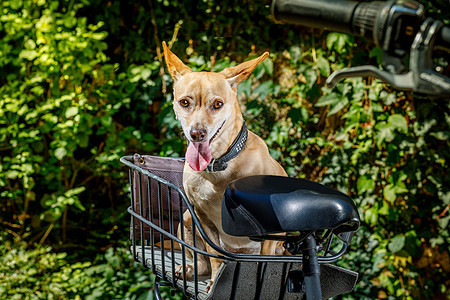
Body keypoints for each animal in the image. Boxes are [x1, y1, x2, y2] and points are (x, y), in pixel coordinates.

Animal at [163, 42, 286, 290]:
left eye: (217, 104)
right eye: (184, 102)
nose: (197, 133)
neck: (220, 165)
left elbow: (264, 266)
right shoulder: (202, 217)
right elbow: (215, 257)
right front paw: (216, 281)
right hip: (186, 220)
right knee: (202, 261)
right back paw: (189, 269)